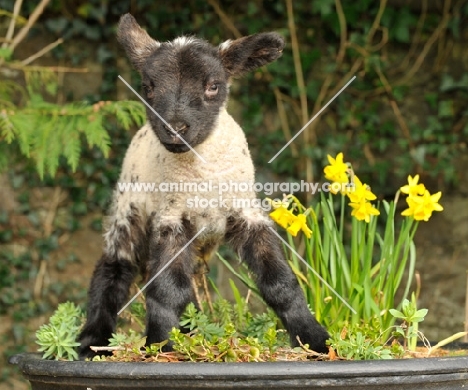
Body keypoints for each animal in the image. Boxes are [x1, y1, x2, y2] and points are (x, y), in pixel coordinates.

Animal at [78, 12, 330, 360]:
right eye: (147, 87)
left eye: (213, 86)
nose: (174, 129)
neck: (202, 180)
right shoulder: (171, 218)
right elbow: (168, 290)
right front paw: (162, 346)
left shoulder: (246, 213)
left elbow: (280, 282)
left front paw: (315, 340)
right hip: (128, 210)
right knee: (115, 269)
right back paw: (92, 343)